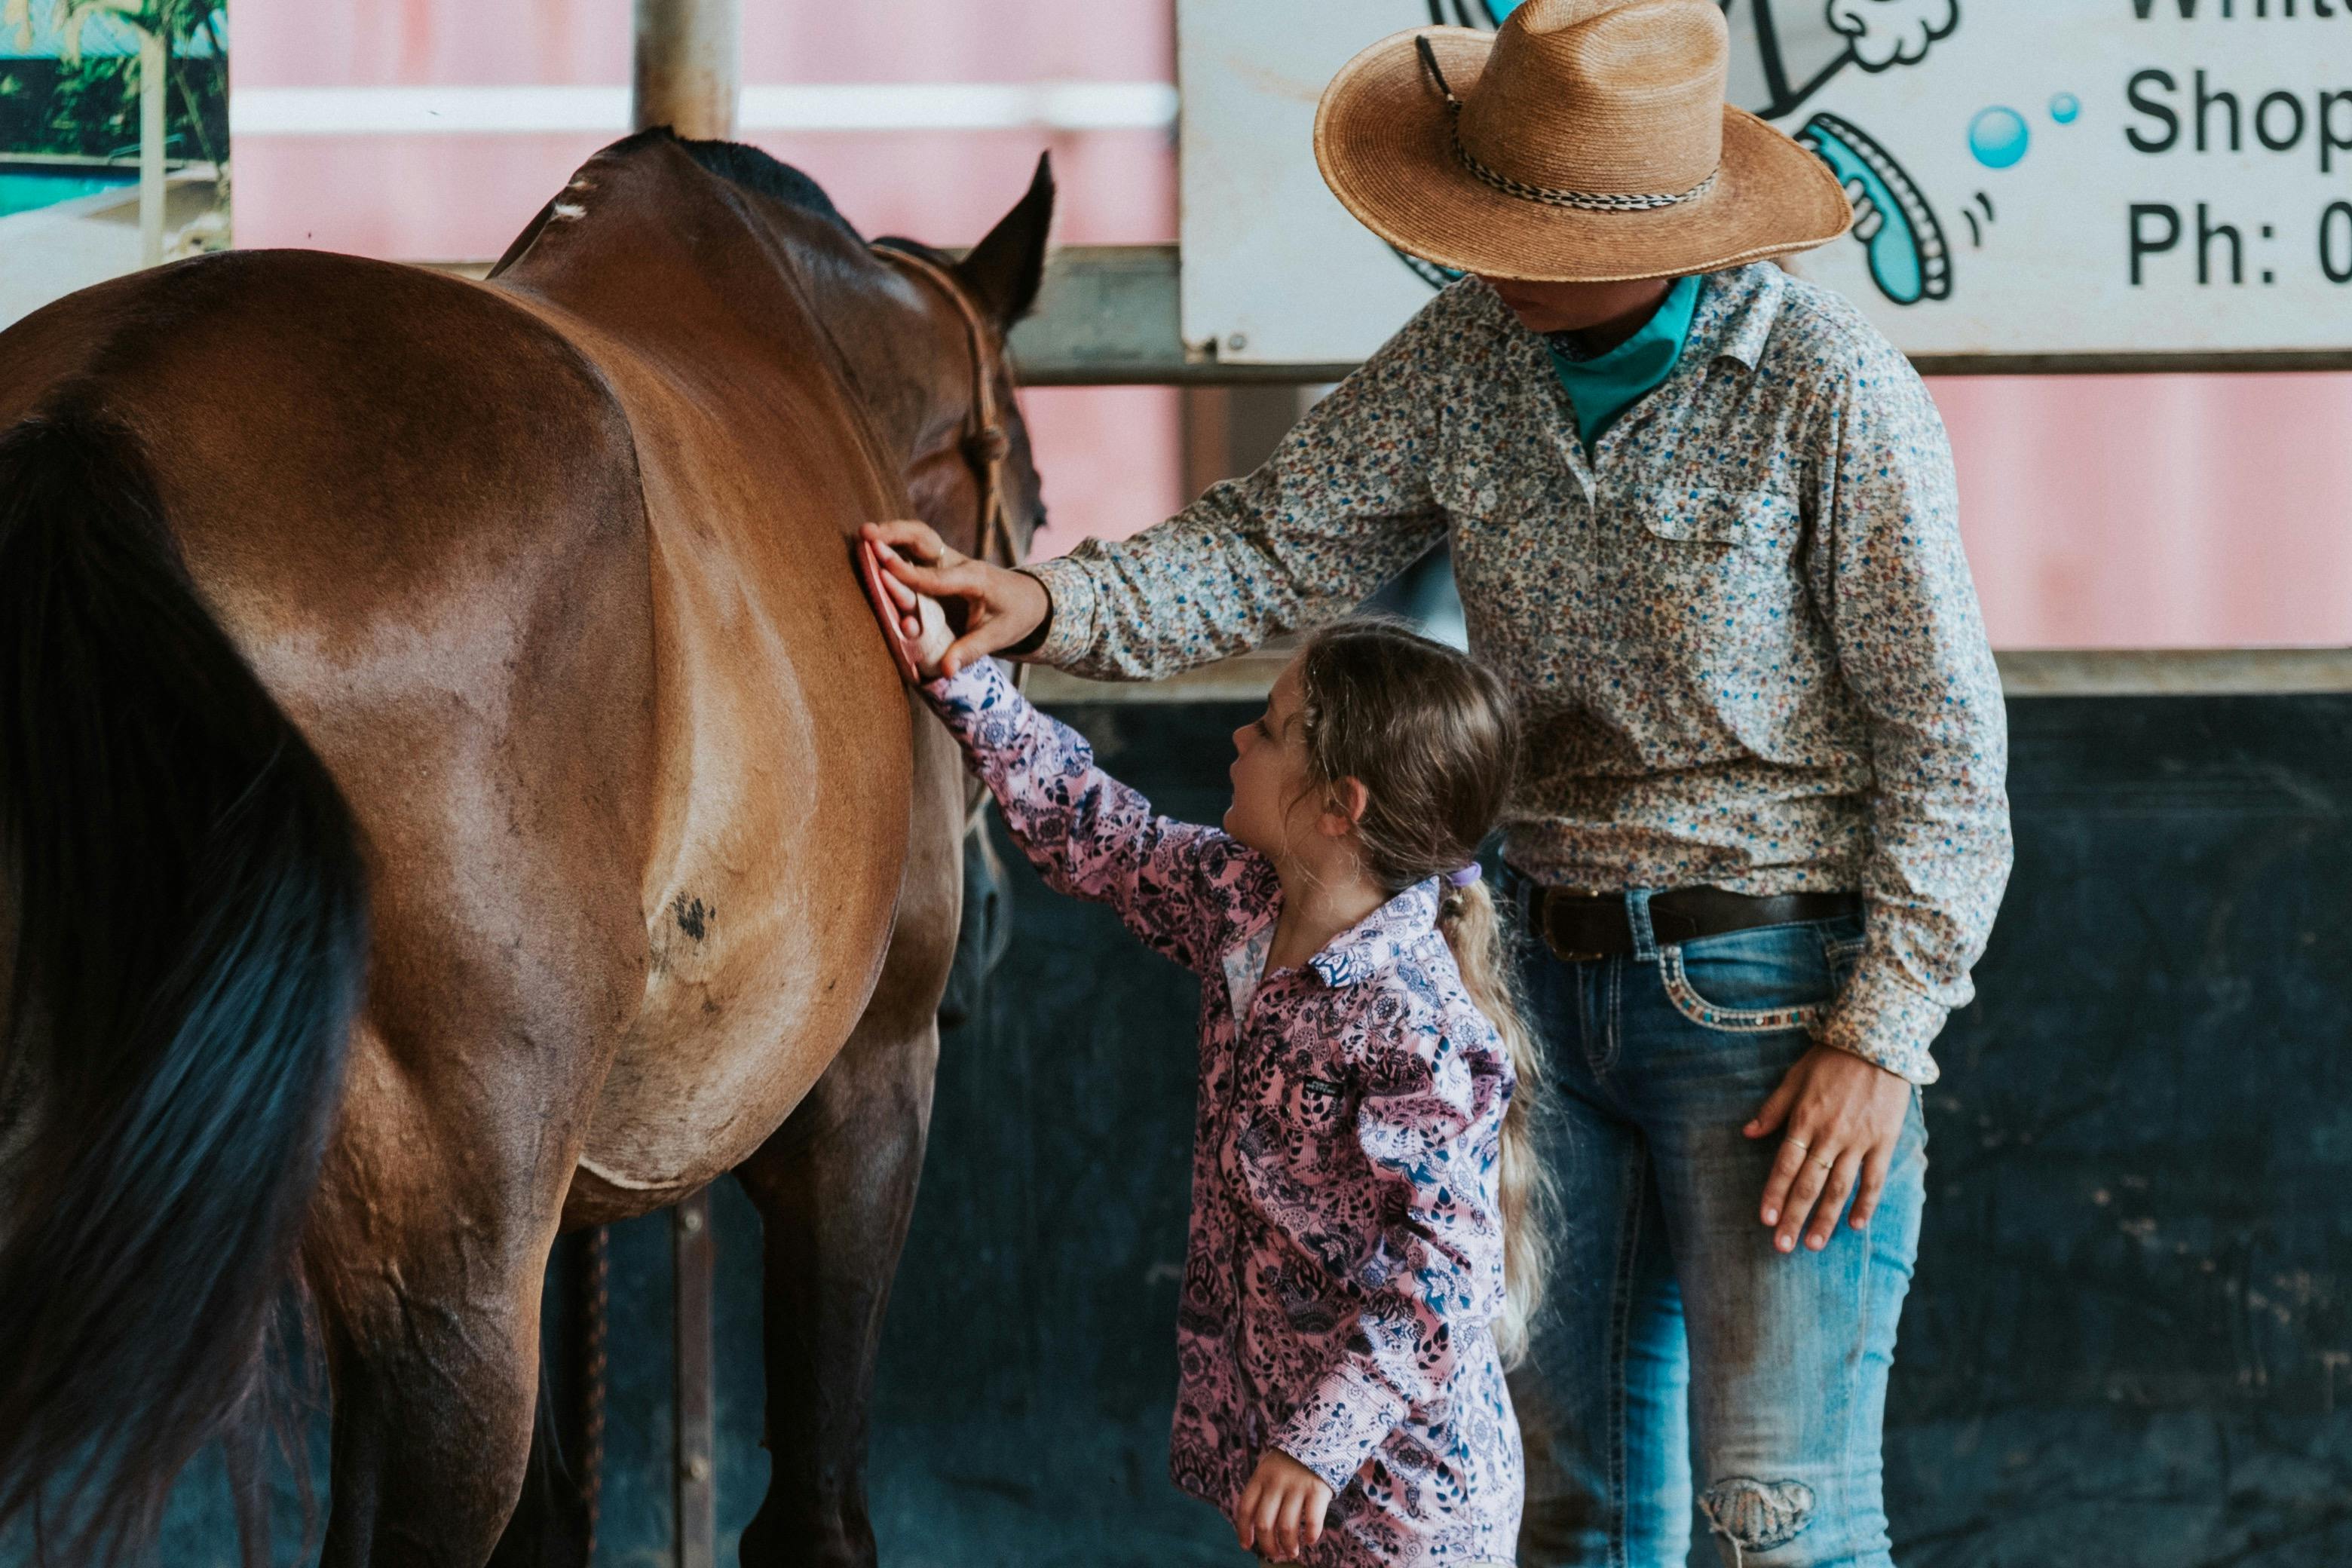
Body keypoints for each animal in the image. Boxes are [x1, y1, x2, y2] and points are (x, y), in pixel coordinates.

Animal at [0, 127, 1051, 1567]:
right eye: (1036, 508)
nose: (995, 916)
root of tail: (90, 422)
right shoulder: (869, 1089)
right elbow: (817, 1502)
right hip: (447, 1278)